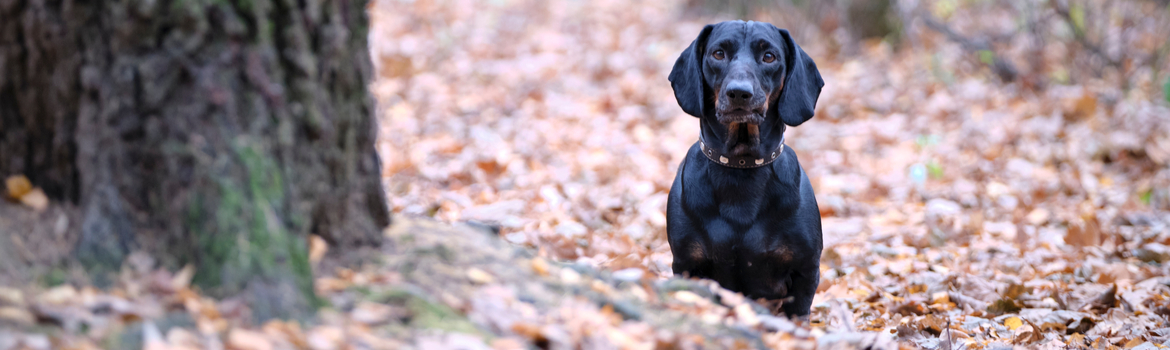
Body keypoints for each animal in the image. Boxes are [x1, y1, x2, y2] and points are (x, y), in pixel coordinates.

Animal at [669, 21, 823, 318]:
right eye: (718, 53)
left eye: (769, 56)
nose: (739, 92)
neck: (741, 168)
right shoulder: (686, 264)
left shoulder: (805, 271)